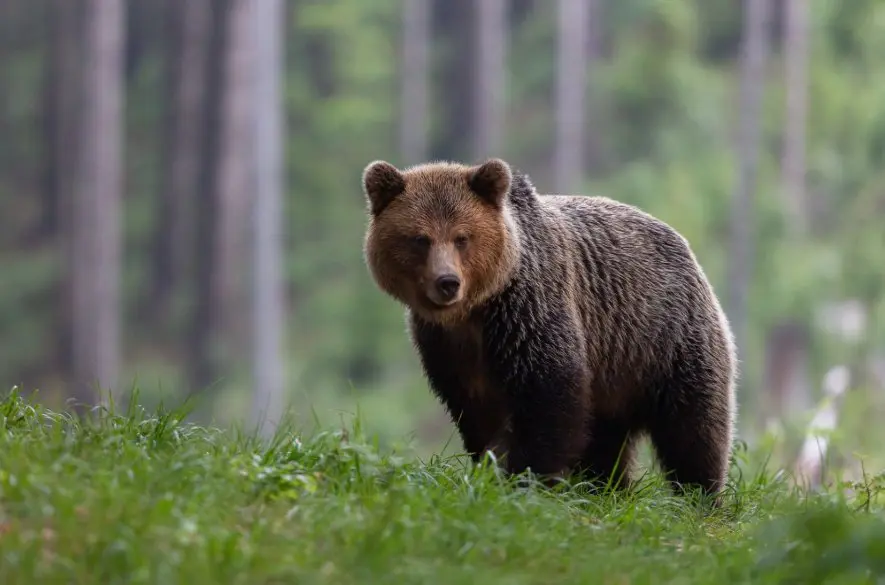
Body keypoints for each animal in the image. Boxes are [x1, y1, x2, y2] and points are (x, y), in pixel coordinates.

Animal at [360, 157, 740, 496]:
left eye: (461, 237)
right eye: (420, 238)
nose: (447, 282)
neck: (475, 312)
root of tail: (683, 244)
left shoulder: (529, 314)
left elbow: (549, 397)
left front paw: (527, 478)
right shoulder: (445, 346)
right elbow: (474, 412)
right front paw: (489, 467)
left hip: (663, 338)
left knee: (693, 427)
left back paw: (700, 496)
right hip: (615, 372)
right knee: (608, 438)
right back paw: (606, 488)